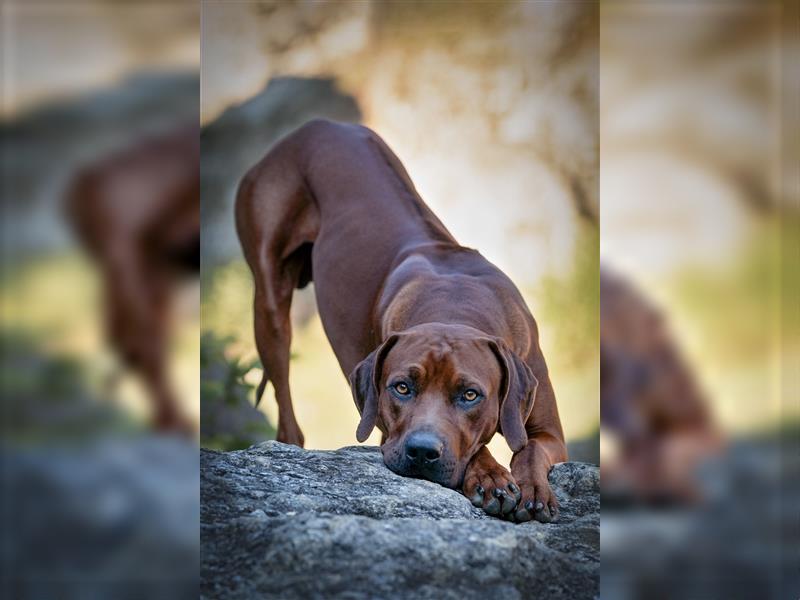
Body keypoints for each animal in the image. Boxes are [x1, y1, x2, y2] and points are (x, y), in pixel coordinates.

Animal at [234, 118, 564, 520]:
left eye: (471, 395)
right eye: (402, 387)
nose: (421, 451)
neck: (455, 304)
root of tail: (313, 125)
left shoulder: (549, 431)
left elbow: (530, 448)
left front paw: (533, 488)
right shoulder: (384, 426)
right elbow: (477, 446)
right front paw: (491, 475)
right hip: (270, 303)